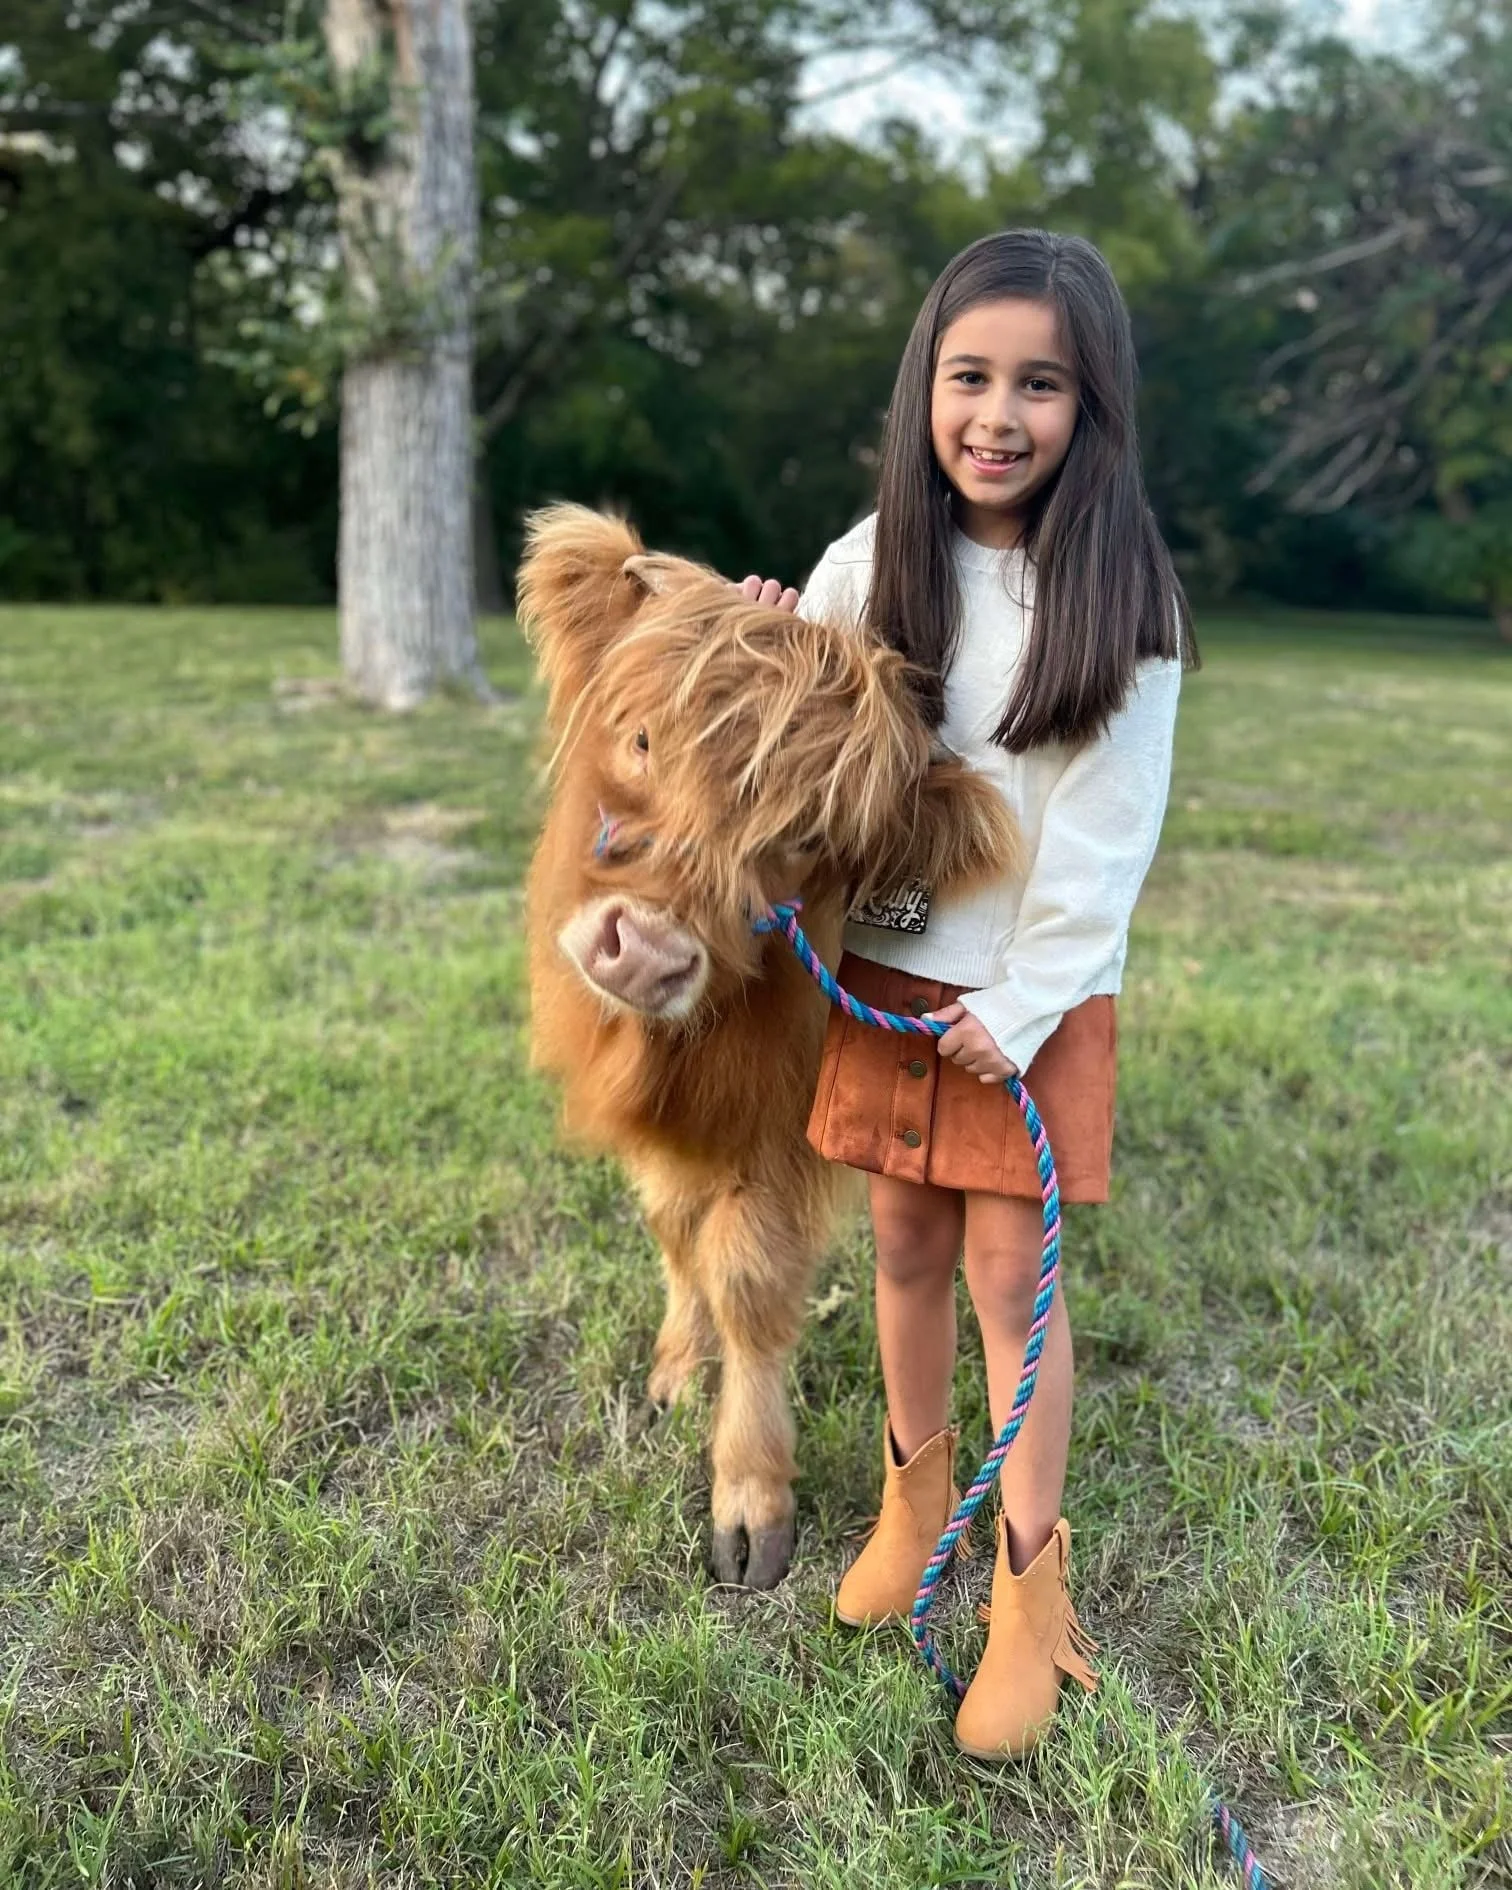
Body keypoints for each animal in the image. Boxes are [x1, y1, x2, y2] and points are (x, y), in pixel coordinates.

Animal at [518, 505, 1019, 1588]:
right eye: (641, 737)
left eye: (804, 840)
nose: (645, 950)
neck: (681, 1056)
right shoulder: (668, 1134)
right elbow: (675, 1230)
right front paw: (676, 1370)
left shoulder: (782, 1127)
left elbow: (748, 1278)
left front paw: (749, 1499)